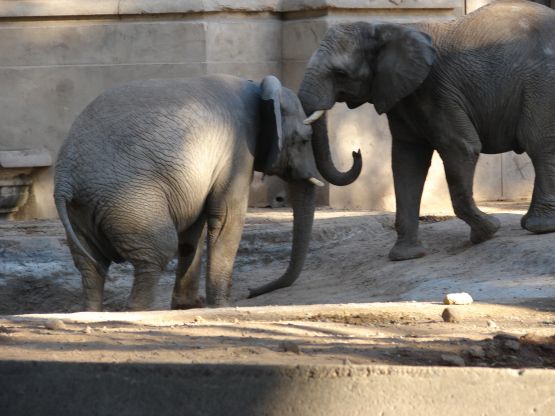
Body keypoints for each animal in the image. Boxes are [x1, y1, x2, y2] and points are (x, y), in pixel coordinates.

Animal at [55, 75, 334, 310]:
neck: (258, 87)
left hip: (84, 208)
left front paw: (188, 306)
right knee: (156, 253)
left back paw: (91, 311)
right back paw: (137, 311)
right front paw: (221, 306)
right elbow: (227, 217)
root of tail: (65, 179)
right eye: (304, 139)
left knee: (91, 266)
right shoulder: (238, 150)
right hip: (130, 200)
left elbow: (193, 232)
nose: (251, 293)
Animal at [302, 0, 555, 260]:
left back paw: (540, 227)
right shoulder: (402, 96)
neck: (385, 28)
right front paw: (406, 255)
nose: (356, 152)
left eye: (340, 74)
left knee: (537, 142)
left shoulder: (437, 90)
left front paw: (488, 231)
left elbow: (461, 147)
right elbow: (406, 162)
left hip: (543, 83)